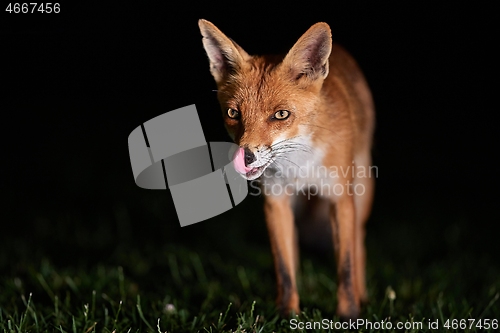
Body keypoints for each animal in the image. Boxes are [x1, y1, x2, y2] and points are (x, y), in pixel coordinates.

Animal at [199, 18, 376, 320]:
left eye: (281, 115)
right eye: (233, 114)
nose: (245, 157)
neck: (300, 167)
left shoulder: (340, 199)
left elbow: (345, 266)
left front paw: (349, 315)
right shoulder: (275, 201)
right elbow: (284, 268)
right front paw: (287, 315)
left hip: (361, 193)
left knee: (359, 243)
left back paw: (363, 295)